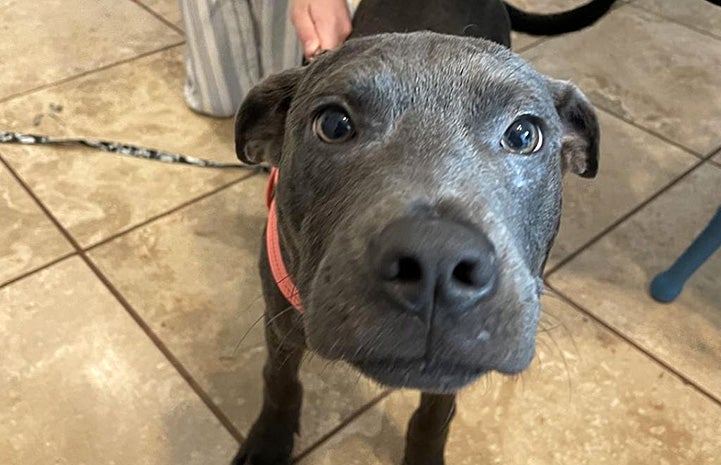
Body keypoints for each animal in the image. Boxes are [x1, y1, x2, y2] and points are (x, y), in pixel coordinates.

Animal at [231, 0, 612, 464]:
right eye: (334, 125)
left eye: (524, 134)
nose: (436, 257)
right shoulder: (281, 324)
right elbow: (280, 380)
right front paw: (269, 440)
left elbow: (435, 414)